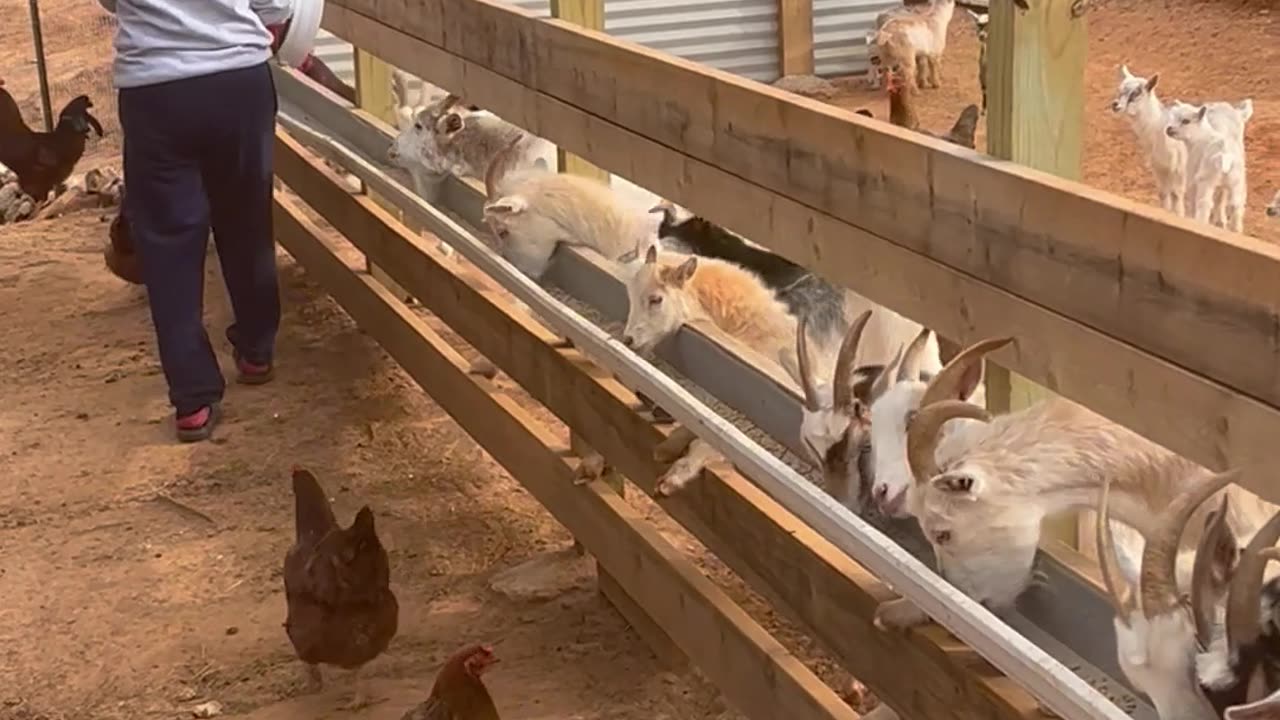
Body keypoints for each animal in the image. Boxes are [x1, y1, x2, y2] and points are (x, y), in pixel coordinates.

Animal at [1172, 101, 1249, 233]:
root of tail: (1224, 155)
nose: (1169, 129)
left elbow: (1193, 196)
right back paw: (1236, 230)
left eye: (1186, 121)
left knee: (1205, 202)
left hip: (1207, 179)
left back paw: (1200, 223)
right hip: (1236, 180)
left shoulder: (1192, 174)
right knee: (1235, 204)